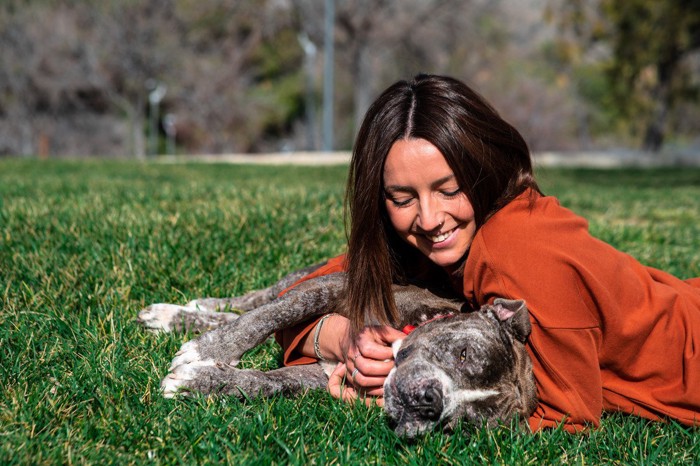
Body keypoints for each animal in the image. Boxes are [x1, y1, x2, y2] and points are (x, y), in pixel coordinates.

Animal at [139, 268, 540, 436]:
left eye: (460, 424)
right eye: (463, 353)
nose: (431, 401)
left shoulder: (323, 375)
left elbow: (270, 384)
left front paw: (200, 383)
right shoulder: (334, 287)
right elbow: (273, 314)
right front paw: (210, 349)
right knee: (256, 300)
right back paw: (179, 314)